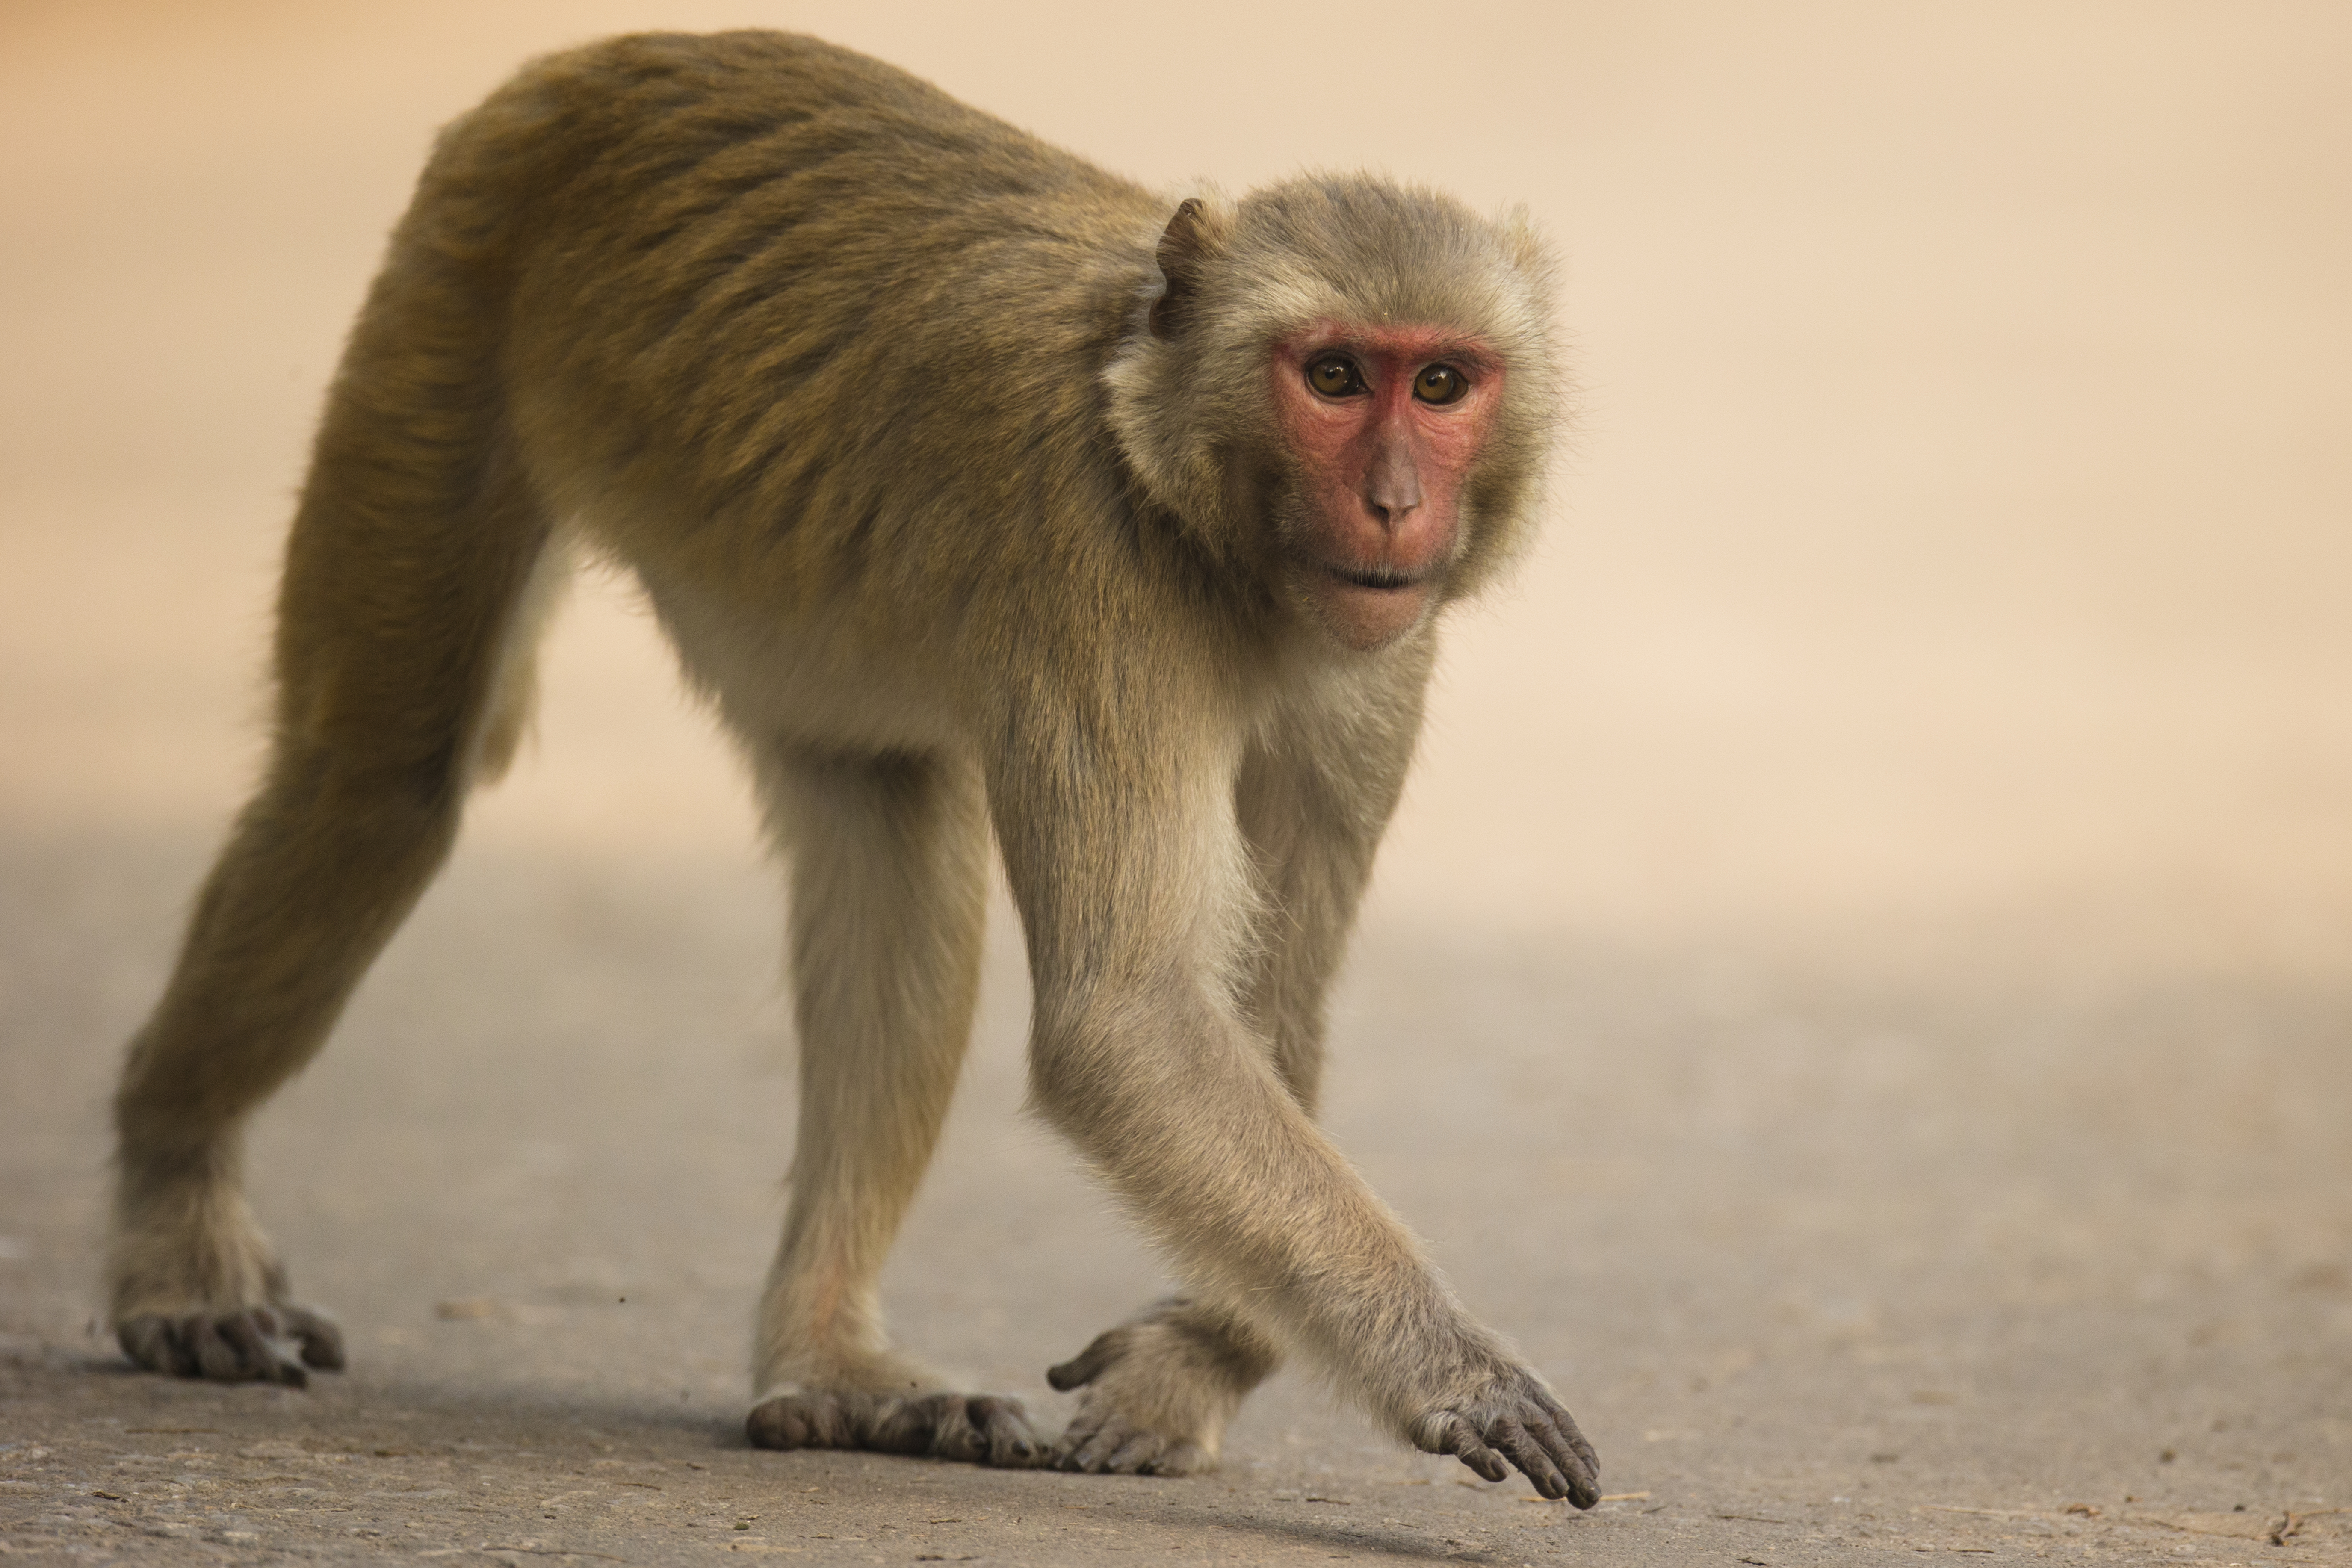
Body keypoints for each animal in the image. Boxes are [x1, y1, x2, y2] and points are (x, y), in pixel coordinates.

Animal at [103, 30, 1599, 1506]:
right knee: (378, 783)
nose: (1397, 503)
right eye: (1335, 376)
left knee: (890, 829)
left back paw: (826, 1365)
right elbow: (1129, 1021)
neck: (1185, 486)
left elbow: (1256, 1008)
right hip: (451, 292)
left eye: (1443, 382)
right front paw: (1445, 1365)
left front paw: (1199, 1357)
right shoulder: (1092, 570)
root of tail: (596, 58)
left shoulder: (1376, 655)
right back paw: (175, 1212)